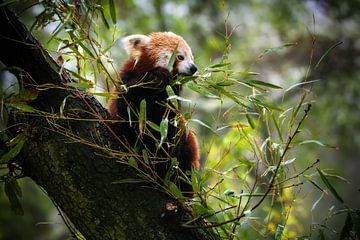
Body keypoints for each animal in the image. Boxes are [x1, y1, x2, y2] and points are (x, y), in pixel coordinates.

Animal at [108, 31, 201, 195]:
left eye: (191, 57)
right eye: (180, 57)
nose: (193, 68)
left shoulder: (171, 102)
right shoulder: (126, 82)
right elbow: (127, 107)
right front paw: (158, 75)